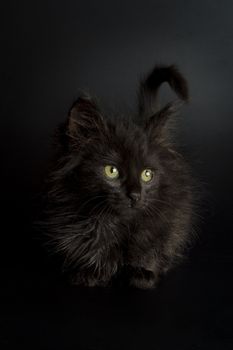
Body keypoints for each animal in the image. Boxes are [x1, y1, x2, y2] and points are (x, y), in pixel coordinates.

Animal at [43, 64, 197, 288]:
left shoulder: (165, 217)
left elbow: (150, 245)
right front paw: (91, 272)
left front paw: (143, 272)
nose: (135, 195)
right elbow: (91, 244)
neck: (118, 222)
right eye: (111, 171)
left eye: (147, 174)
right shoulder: (73, 222)